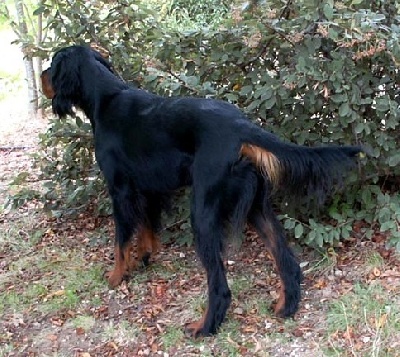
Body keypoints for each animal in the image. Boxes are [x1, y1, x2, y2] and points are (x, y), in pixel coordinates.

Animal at [42, 46, 364, 338]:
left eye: (52, 64)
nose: (42, 77)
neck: (106, 100)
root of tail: (241, 127)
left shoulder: (120, 190)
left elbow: (120, 240)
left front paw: (116, 276)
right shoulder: (147, 190)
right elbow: (147, 227)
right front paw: (144, 257)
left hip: (204, 211)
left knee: (219, 286)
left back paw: (205, 327)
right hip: (256, 206)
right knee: (287, 261)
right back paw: (286, 306)